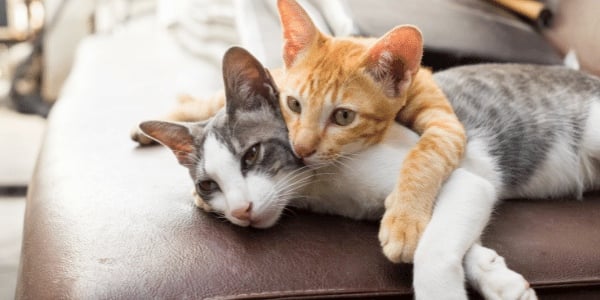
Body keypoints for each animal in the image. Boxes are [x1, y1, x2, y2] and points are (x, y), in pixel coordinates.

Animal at [134, 0, 466, 262]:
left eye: (343, 116)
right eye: (293, 104)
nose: (302, 150)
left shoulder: (446, 122)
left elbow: (427, 155)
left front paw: (405, 221)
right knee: (209, 102)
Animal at [138, 47, 600, 300]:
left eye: (252, 154)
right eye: (208, 185)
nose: (240, 211)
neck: (320, 187)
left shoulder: (458, 177)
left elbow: (432, 249)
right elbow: (438, 233)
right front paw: (493, 273)